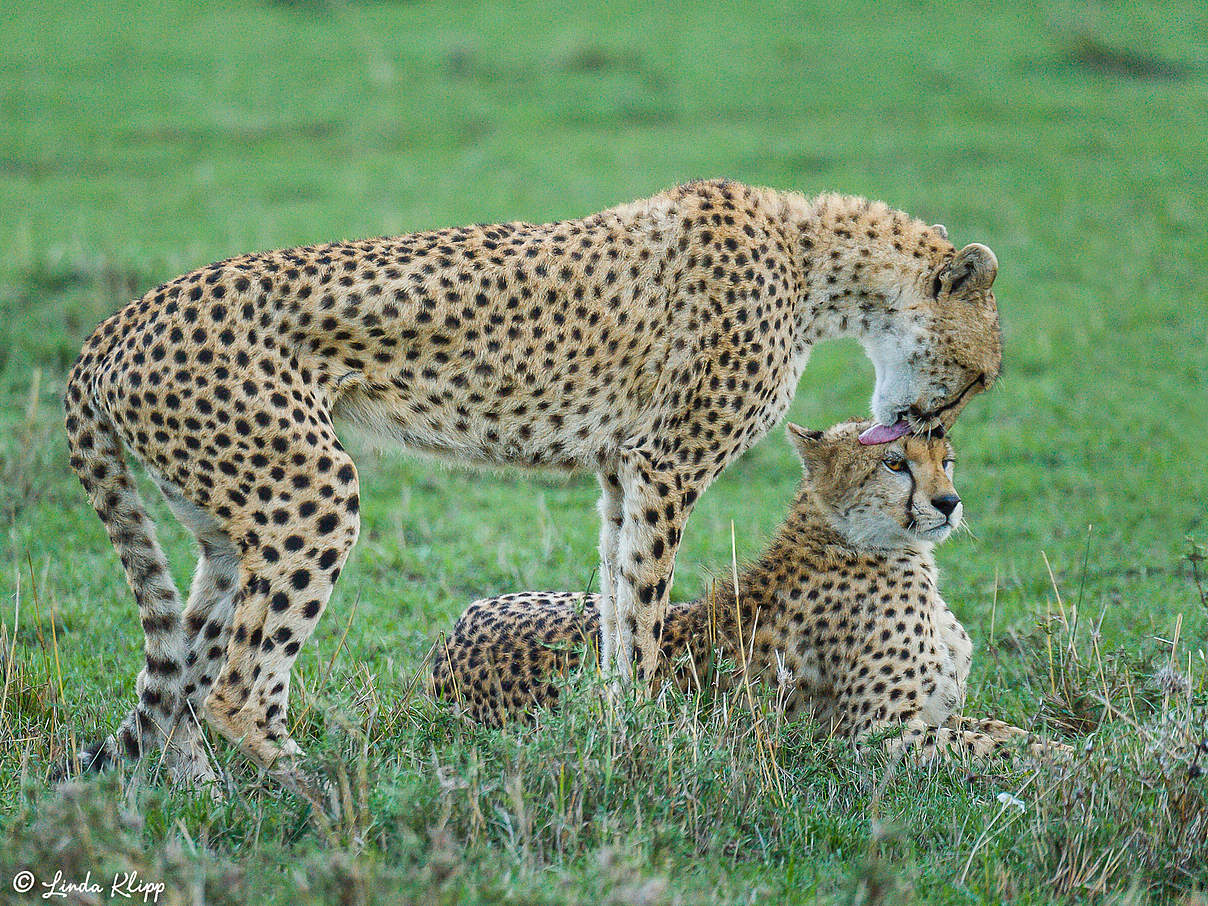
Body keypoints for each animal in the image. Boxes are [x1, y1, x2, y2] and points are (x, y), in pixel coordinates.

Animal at [63, 175, 1000, 787]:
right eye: (978, 378)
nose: (928, 436)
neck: (815, 264)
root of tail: (121, 317)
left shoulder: (623, 472)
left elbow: (621, 608)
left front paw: (620, 729)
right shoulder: (668, 464)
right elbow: (647, 614)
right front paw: (653, 742)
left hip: (228, 523)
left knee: (182, 670)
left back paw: (203, 794)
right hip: (312, 493)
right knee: (238, 686)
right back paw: (318, 791)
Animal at [432, 422, 1067, 763]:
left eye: (946, 460)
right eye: (894, 463)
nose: (948, 503)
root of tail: (448, 642)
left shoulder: (935, 714)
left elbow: (1000, 730)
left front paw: (1069, 745)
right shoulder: (873, 738)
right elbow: (990, 747)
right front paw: (1066, 761)